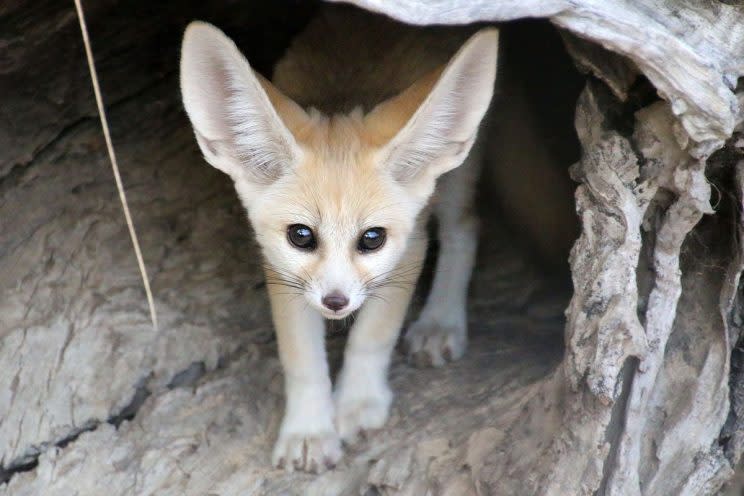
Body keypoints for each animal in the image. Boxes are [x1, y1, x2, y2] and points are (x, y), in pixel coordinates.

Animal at [179, 7, 500, 472]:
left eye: (372, 238)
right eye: (301, 236)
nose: (335, 302)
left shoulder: (409, 248)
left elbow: (372, 335)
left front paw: (358, 403)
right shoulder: (282, 269)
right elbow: (301, 358)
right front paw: (309, 430)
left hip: (455, 176)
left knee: (466, 227)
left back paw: (441, 321)